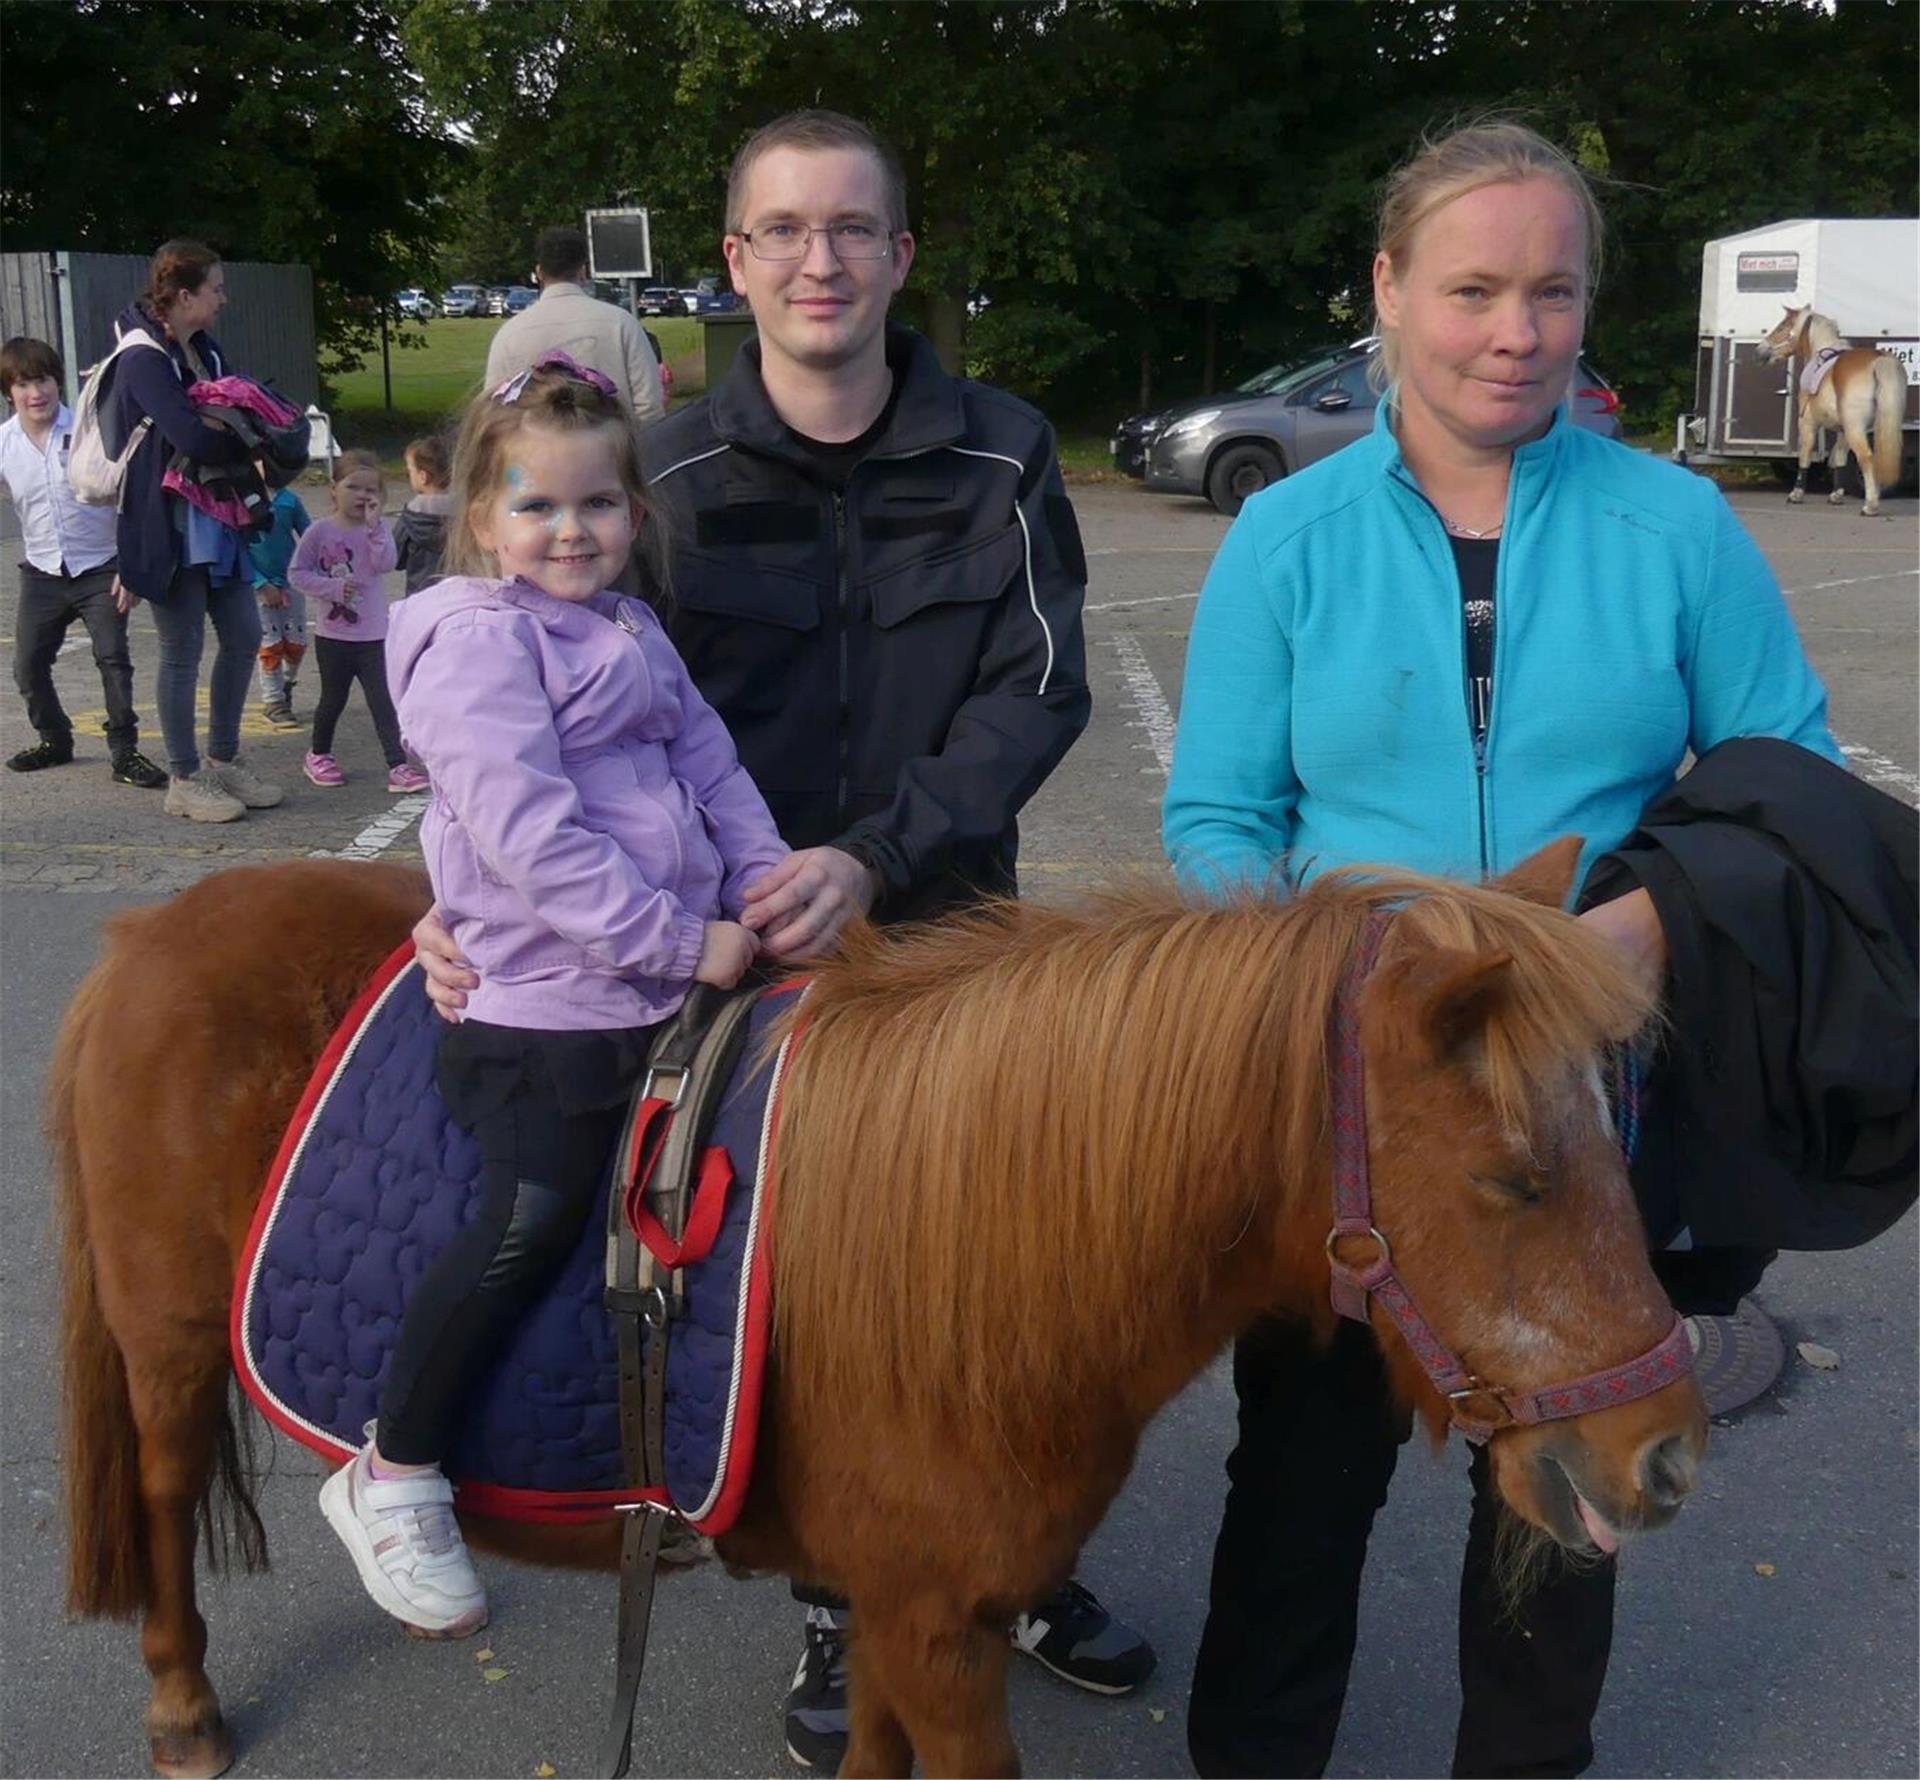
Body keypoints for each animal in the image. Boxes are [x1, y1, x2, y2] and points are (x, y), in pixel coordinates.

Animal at [56, 844, 1712, 1780]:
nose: (1669, 1455)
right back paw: (185, 1705)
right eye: (1512, 1180)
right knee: (163, 1498)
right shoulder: (933, 1633)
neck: (980, 1241)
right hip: (169, 1343)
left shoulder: (909, 1606)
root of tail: (149, 932)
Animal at [1758, 303, 1912, 514]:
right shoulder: (1842, 430)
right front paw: (1836, 495)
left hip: (1855, 428)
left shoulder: (1807, 423)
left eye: (1782, 327)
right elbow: (1840, 458)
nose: (1759, 350)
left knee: (1866, 458)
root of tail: (1879, 359)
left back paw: (1870, 505)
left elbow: (1804, 456)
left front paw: (1796, 494)